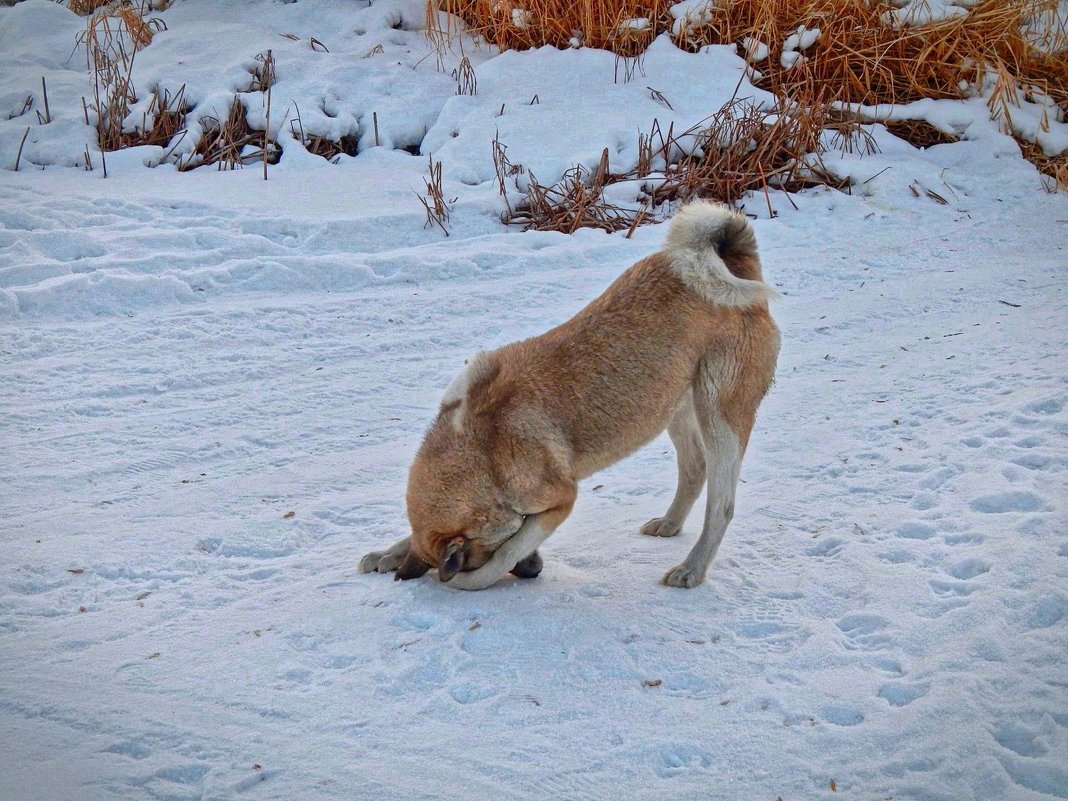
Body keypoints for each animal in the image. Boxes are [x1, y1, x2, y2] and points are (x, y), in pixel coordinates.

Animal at [356, 200, 777, 589]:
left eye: (478, 555)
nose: (535, 570)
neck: (482, 448)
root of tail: (735, 263)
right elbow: (420, 538)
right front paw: (390, 553)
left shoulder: (559, 500)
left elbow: (497, 558)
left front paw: (463, 577)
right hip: (674, 405)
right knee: (694, 468)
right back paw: (670, 524)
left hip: (720, 417)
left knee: (722, 506)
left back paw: (692, 568)